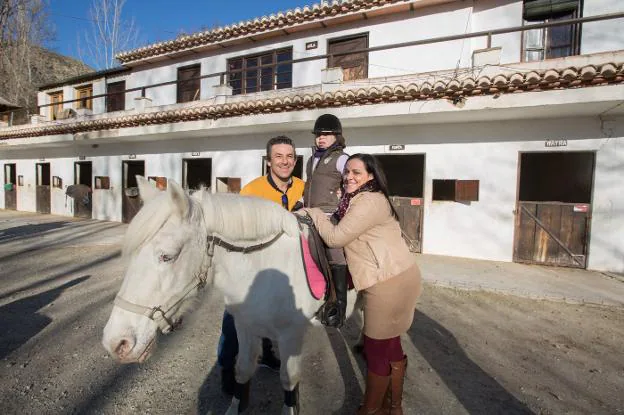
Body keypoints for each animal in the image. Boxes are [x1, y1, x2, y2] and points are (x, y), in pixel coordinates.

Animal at [100, 177, 358, 414]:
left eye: (167, 256)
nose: (116, 343)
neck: (263, 265)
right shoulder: (245, 326)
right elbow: (242, 370)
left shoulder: (290, 335)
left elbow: (289, 380)